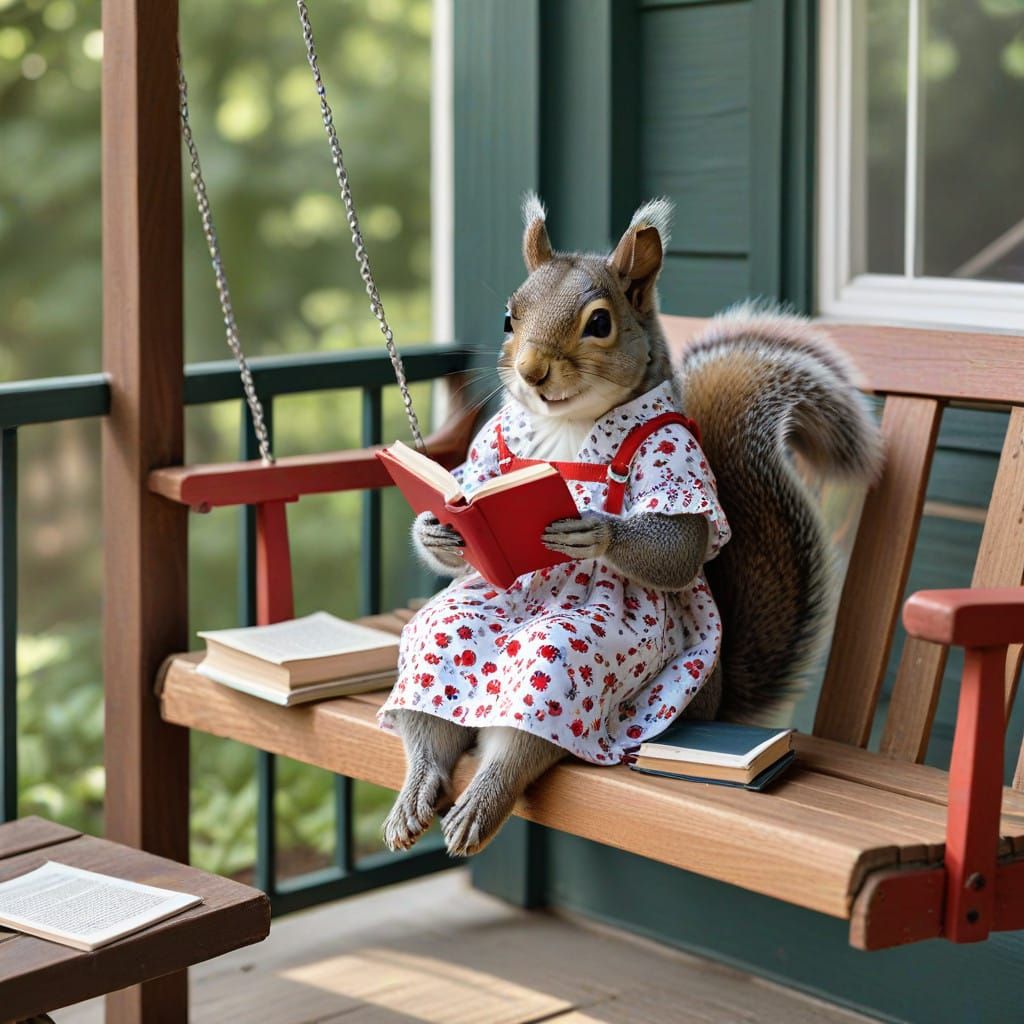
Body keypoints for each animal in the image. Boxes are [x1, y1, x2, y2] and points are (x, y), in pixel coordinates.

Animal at [381, 195, 883, 858]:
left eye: (600, 324)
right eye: (509, 318)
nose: (532, 371)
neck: (568, 427)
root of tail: (713, 704)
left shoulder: (676, 456)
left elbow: (679, 546)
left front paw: (593, 529)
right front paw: (439, 527)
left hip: (568, 663)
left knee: (525, 738)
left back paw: (482, 802)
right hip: (440, 640)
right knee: (432, 714)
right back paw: (416, 790)